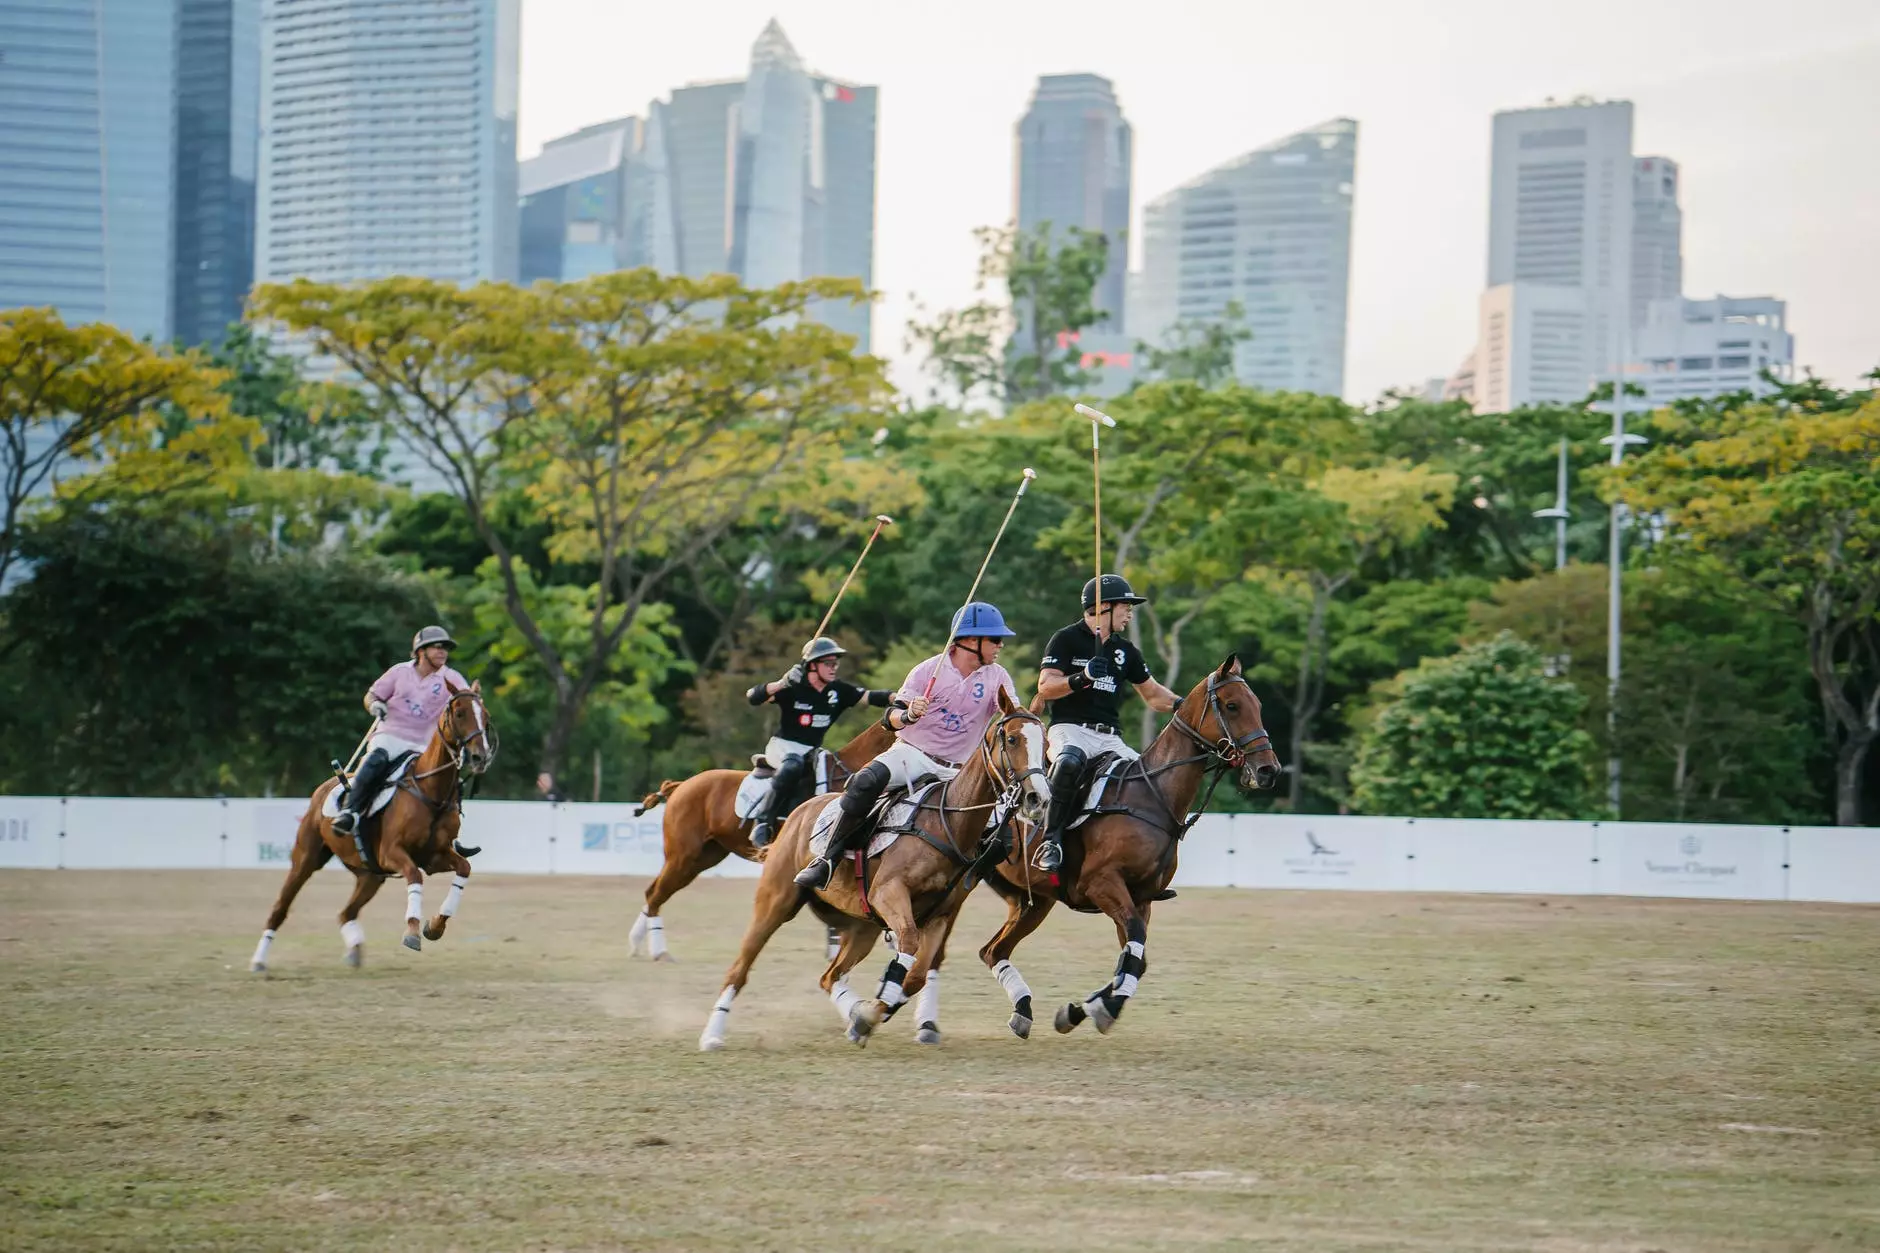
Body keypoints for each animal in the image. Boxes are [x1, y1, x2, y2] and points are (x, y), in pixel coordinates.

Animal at [250, 684, 500, 963]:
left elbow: (464, 868)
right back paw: (259, 960)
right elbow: (414, 876)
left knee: (346, 913)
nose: (480, 757)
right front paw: (412, 931)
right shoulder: (391, 852)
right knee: (280, 908)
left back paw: (354, 951)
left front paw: (435, 926)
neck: (431, 792)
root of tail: (326, 784)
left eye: (486, 716)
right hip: (306, 858)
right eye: (459, 713)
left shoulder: (434, 856)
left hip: (369, 874)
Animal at [631, 711, 894, 955]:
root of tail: (681, 785)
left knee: (654, 892)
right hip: (682, 856)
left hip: (704, 857)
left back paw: (638, 944)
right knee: (654, 894)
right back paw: (656, 950)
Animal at [699, 688, 1052, 1046]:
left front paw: (870, 1015)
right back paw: (712, 1035)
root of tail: (799, 811)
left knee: (830, 976)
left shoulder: (939, 915)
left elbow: (916, 976)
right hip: (775, 902)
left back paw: (855, 1015)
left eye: (1046, 744)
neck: (948, 821)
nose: (1038, 799)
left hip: (862, 926)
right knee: (740, 968)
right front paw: (872, 1013)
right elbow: (907, 944)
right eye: (1011, 739)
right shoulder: (888, 892)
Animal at [970, 654, 1278, 1030]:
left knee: (993, 950)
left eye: (1258, 705)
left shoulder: (1141, 897)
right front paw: (1103, 1008)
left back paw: (1022, 1011)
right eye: (1232, 706)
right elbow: (1134, 943)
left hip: (1034, 901)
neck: (1152, 796)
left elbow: (1135, 957)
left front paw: (1080, 1010)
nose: (1268, 770)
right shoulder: (1101, 883)